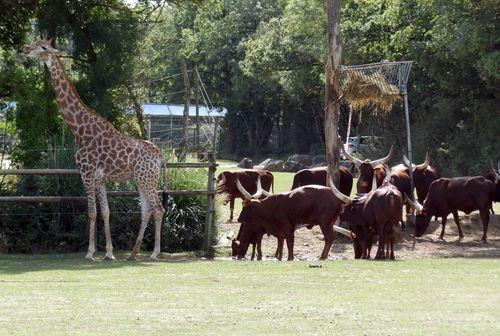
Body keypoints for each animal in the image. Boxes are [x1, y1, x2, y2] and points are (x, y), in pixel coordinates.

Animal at [23, 39, 168, 260]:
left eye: (43, 48)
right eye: (35, 44)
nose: (25, 49)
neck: (80, 130)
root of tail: (160, 156)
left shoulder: (87, 173)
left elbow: (91, 212)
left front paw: (90, 252)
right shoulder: (100, 179)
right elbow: (106, 212)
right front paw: (109, 253)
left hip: (147, 179)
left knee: (158, 209)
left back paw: (154, 253)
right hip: (141, 179)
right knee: (147, 210)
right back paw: (133, 253)